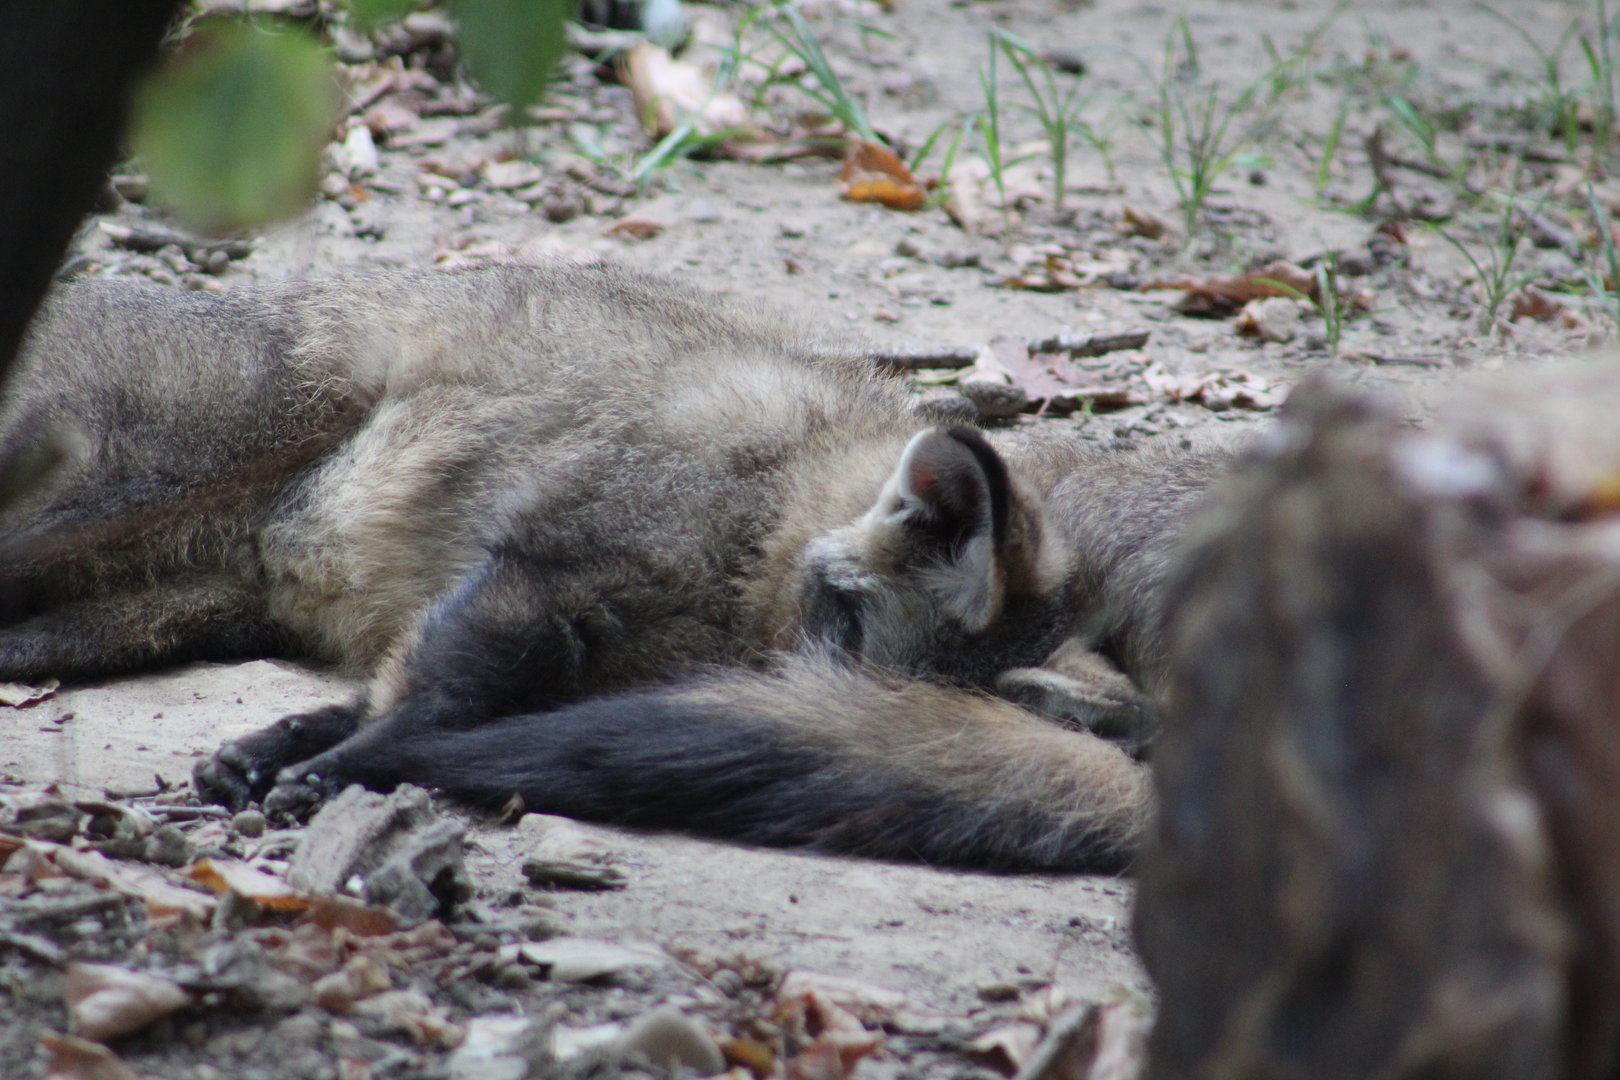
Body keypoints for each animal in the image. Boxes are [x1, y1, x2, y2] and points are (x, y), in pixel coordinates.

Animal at [0, 262, 1225, 872]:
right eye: (838, 645)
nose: (803, 704)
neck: (771, 508)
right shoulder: (546, 576)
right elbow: (427, 705)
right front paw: (345, 770)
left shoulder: (550, 634)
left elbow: (400, 700)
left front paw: (286, 753)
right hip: (103, 503)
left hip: (139, 612)